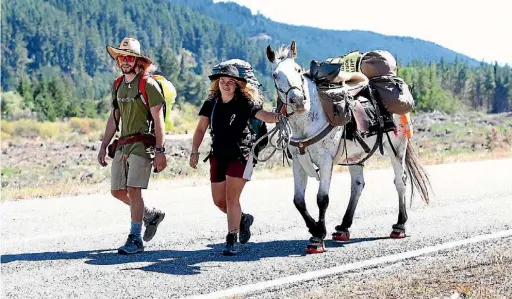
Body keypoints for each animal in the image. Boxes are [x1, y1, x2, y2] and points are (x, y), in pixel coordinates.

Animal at [266, 41, 430, 254]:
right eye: (275, 75)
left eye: (298, 70)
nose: (298, 100)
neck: (308, 118)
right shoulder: (298, 163)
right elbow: (298, 200)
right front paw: (314, 228)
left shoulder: (325, 161)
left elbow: (322, 198)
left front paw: (318, 238)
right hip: (355, 156)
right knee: (357, 185)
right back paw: (344, 227)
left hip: (397, 148)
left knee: (400, 181)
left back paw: (399, 226)